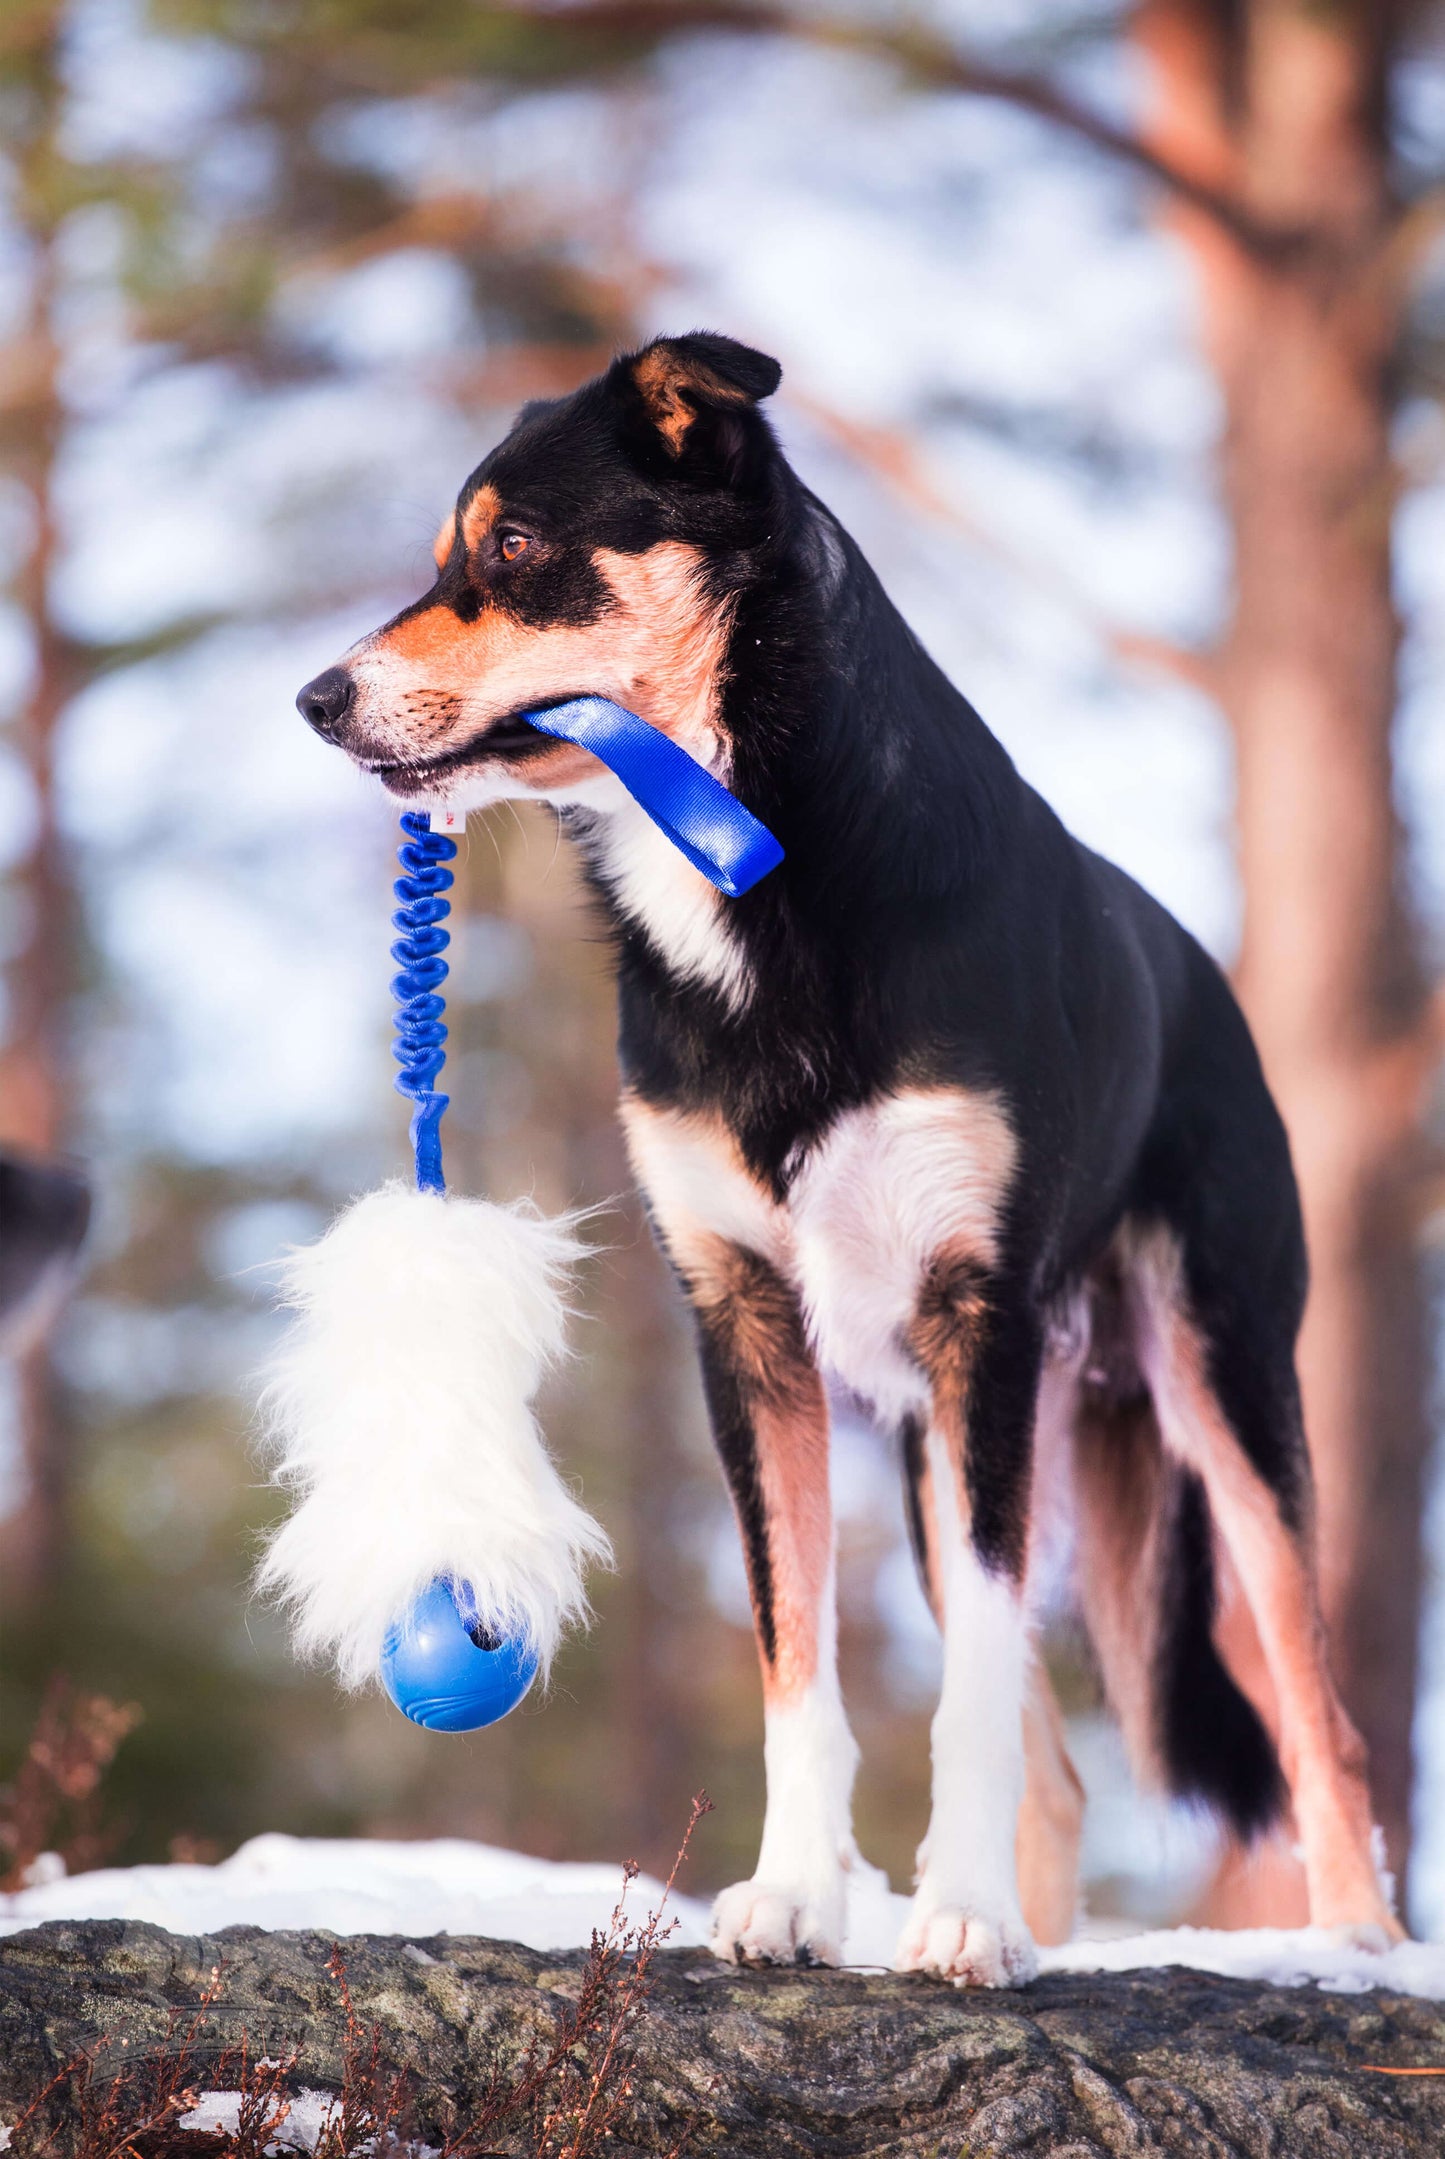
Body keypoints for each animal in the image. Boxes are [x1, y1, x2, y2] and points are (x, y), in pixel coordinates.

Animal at [302, 332, 1399, 1986]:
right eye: (447, 554)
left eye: (512, 548)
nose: (317, 696)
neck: (766, 881)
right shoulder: (747, 1326)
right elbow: (795, 1659)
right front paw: (796, 1899)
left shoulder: (977, 1316)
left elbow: (975, 1692)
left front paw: (959, 1920)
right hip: (947, 1450)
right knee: (1061, 1765)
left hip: (1219, 1383)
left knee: (1315, 1711)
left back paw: (1355, 1942)